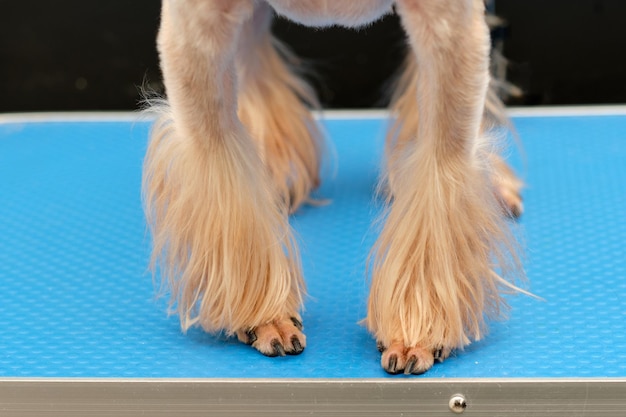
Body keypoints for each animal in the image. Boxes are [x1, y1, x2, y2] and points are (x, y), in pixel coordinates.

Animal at [141, 0, 520, 374]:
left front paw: (417, 332)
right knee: (250, 58)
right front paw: (265, 317)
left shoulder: (452, 31)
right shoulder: (194, 32)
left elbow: (439, 178)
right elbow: (225, 176)